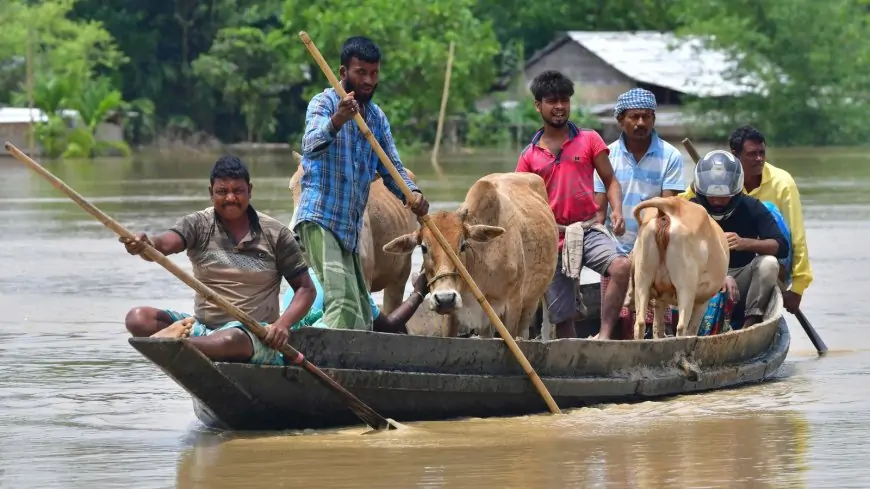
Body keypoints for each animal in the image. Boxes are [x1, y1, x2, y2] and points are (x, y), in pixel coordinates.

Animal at [382, 173, 560, 340]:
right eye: (424, 248)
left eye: (463, 245)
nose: (445, 298)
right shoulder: (453, 316)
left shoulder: (513, 305)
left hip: (532, 302)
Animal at [632, 196, 732, 338]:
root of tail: (670, 205)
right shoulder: (702, 301)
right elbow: (693, 329)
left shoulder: (660, 298)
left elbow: (658, 327)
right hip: (686, 288)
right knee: (681, 327)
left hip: (642, 280)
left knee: (639, 323)